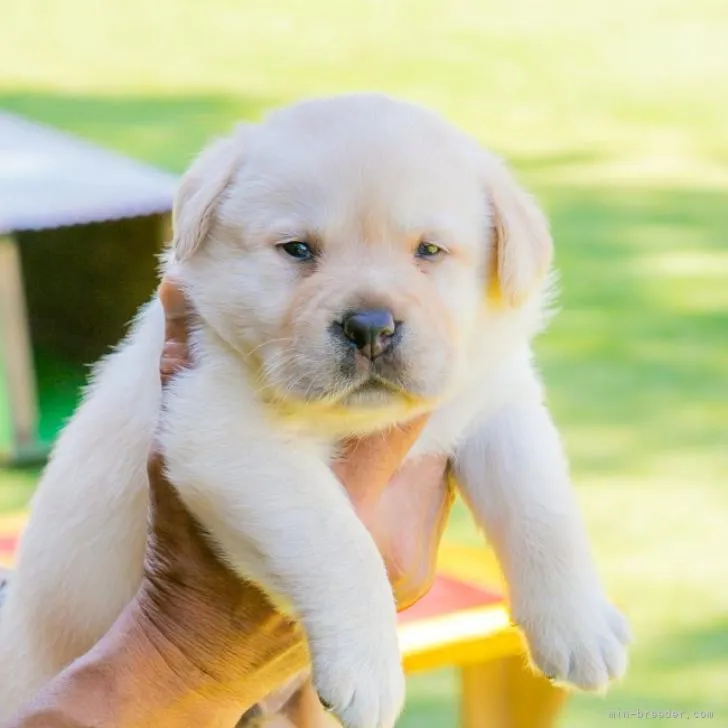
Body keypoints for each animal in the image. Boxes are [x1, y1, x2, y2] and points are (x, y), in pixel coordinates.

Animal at [0, 94, 624, 724]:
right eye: (298, 249)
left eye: (429, 250)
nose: (370, 326)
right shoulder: (223, 429)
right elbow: (338, 541)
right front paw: (369, 672)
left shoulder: (498, 402)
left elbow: (541, 507)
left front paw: (581, 627)